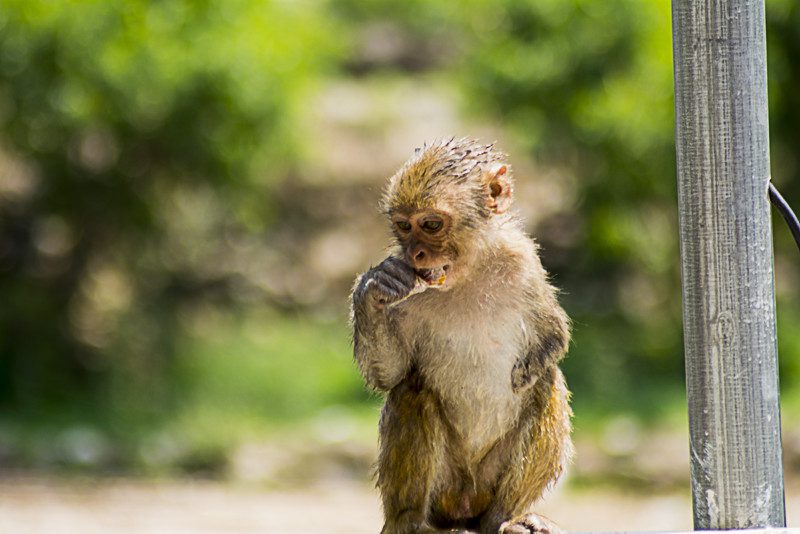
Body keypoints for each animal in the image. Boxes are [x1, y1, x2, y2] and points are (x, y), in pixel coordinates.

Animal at [350, 138, 572, 534]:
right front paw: (373, 288)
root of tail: (466, 503)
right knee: (411, 388)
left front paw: (530, 368)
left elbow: (553, 335)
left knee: (546, 383)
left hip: (487, 482)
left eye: (431, 224)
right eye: (404, 226)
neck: (470, 273)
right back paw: (409, 520)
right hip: (445, 488)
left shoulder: (524, 260)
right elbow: (388, 374)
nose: (415, 253)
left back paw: (505, 517)